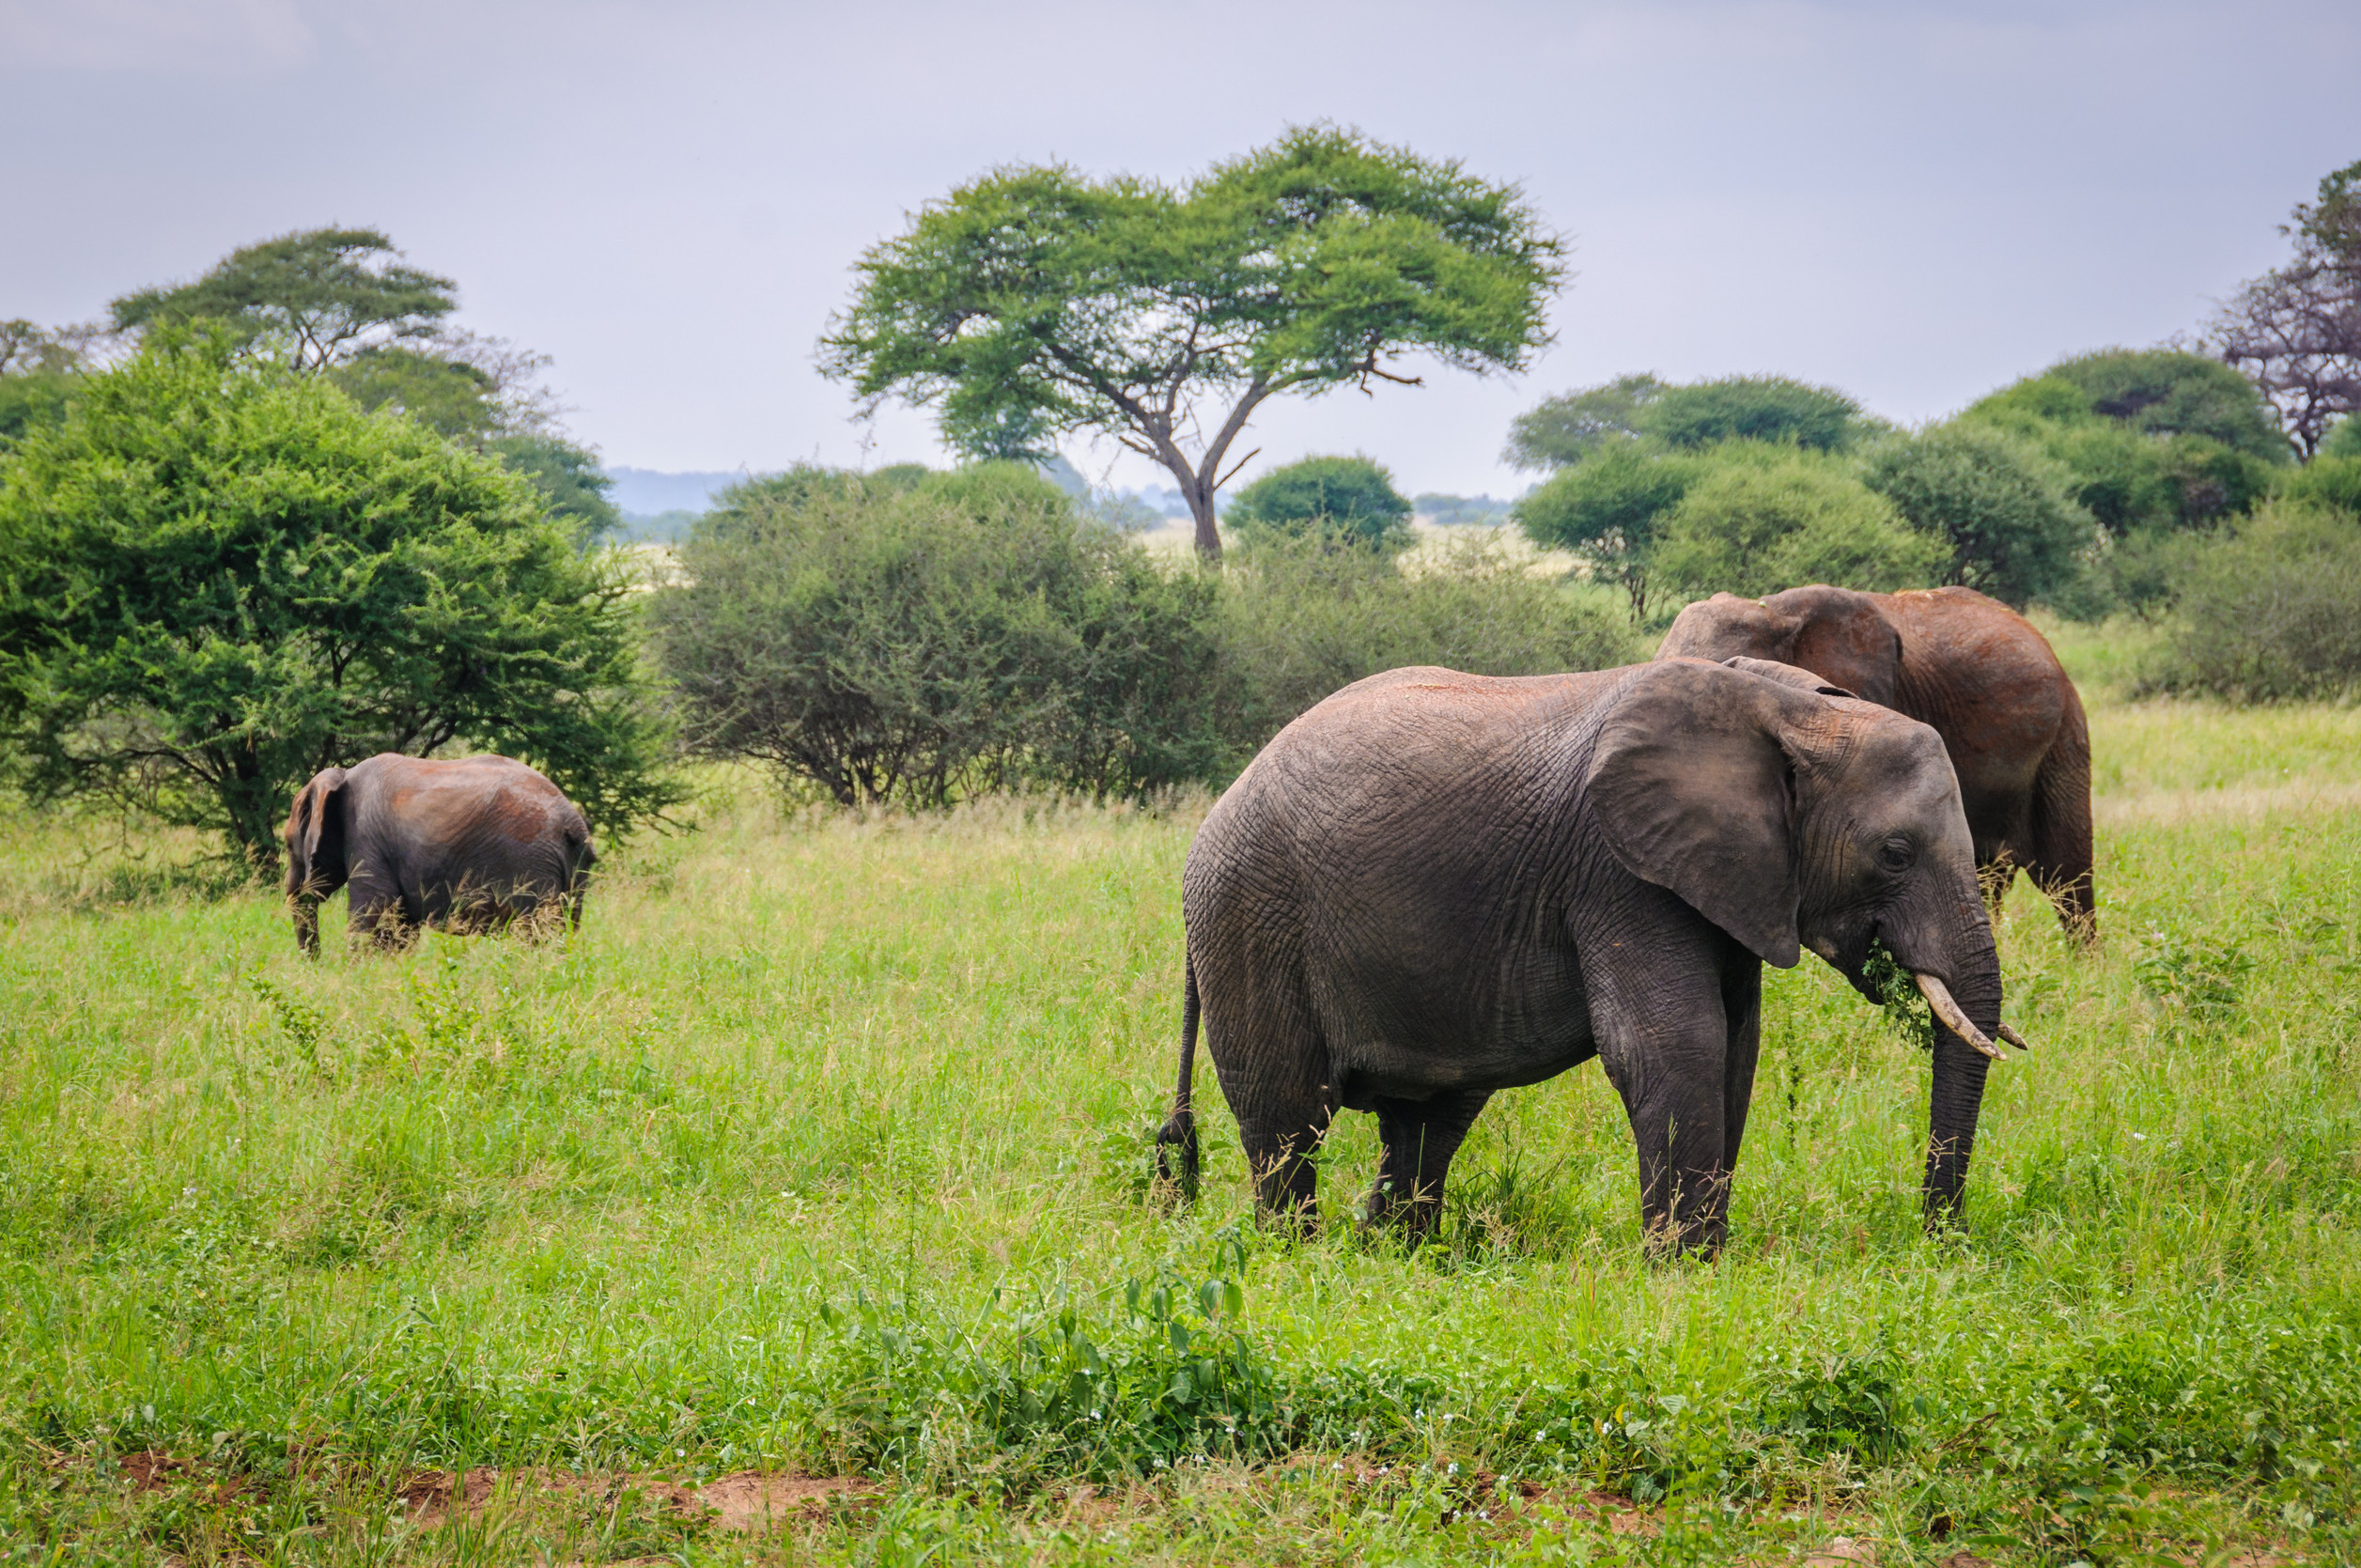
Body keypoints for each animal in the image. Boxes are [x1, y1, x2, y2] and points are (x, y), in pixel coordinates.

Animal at [279, 751, 595, 954]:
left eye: (288, 845)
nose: (316, 965)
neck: (341, 775)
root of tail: (572, 822)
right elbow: (400, 925)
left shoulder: (366, 838)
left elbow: (372, 912)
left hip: (530, 865)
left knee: (534, 932)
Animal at [1152, 656, 2021, 1256]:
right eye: (1895, 854)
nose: (1937, 1244)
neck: (1788, 706)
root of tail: (1216, 813)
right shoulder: (1618, 871)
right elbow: (1674, 1043)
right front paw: (1685, 1272)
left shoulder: (1728, 878)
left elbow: (1736, 1049)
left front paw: (1706, 1263)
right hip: (1250, 917)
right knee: (1287, 1116)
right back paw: (1299, 1260)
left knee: (1427, 1122)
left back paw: (1394, 1255)